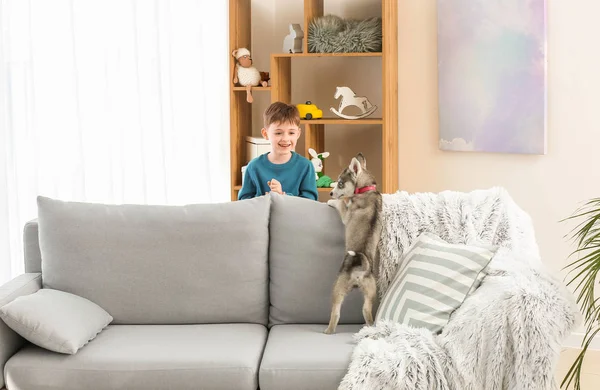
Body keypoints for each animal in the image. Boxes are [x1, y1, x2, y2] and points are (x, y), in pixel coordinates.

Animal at [326, 154, 382, 334]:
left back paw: (328, 331)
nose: (330, 192)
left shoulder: (346, 215)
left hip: (338, 288)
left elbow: (342, 203)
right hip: (371, 292)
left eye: (341, 183)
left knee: (336, 313)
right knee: (366, 311)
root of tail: (360, 269)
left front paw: (332, 201)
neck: (367, 189)